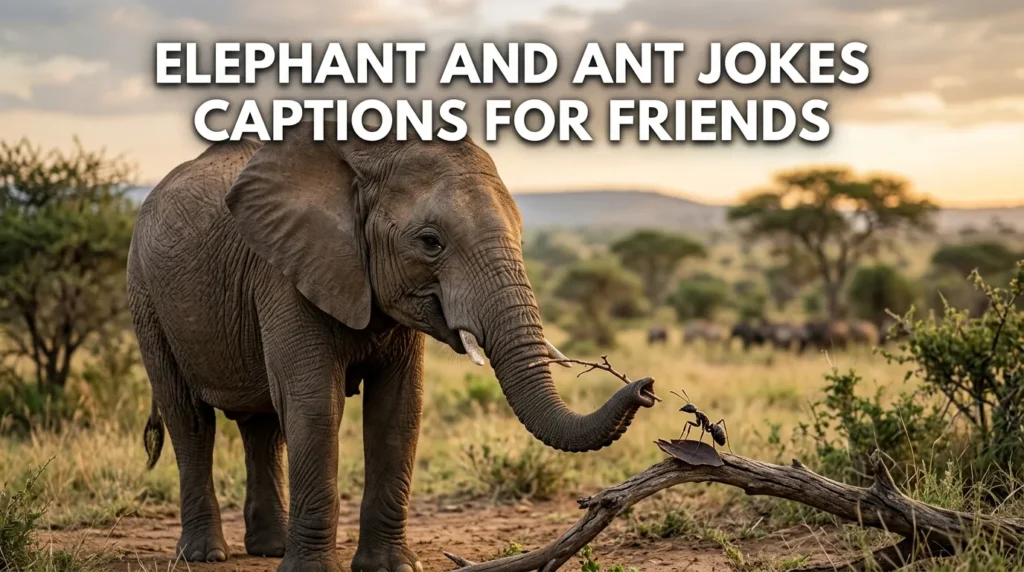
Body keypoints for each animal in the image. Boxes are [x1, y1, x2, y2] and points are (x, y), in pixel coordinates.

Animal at [127, 122, 655, 572]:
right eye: (430, 242)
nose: (646, 388)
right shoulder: (282, 272)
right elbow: (314, 404)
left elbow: (398, 409)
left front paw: (391, 568)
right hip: (145, 295)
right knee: (189, 418)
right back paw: (204, 555)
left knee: (263, 426)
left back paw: (269, 549)